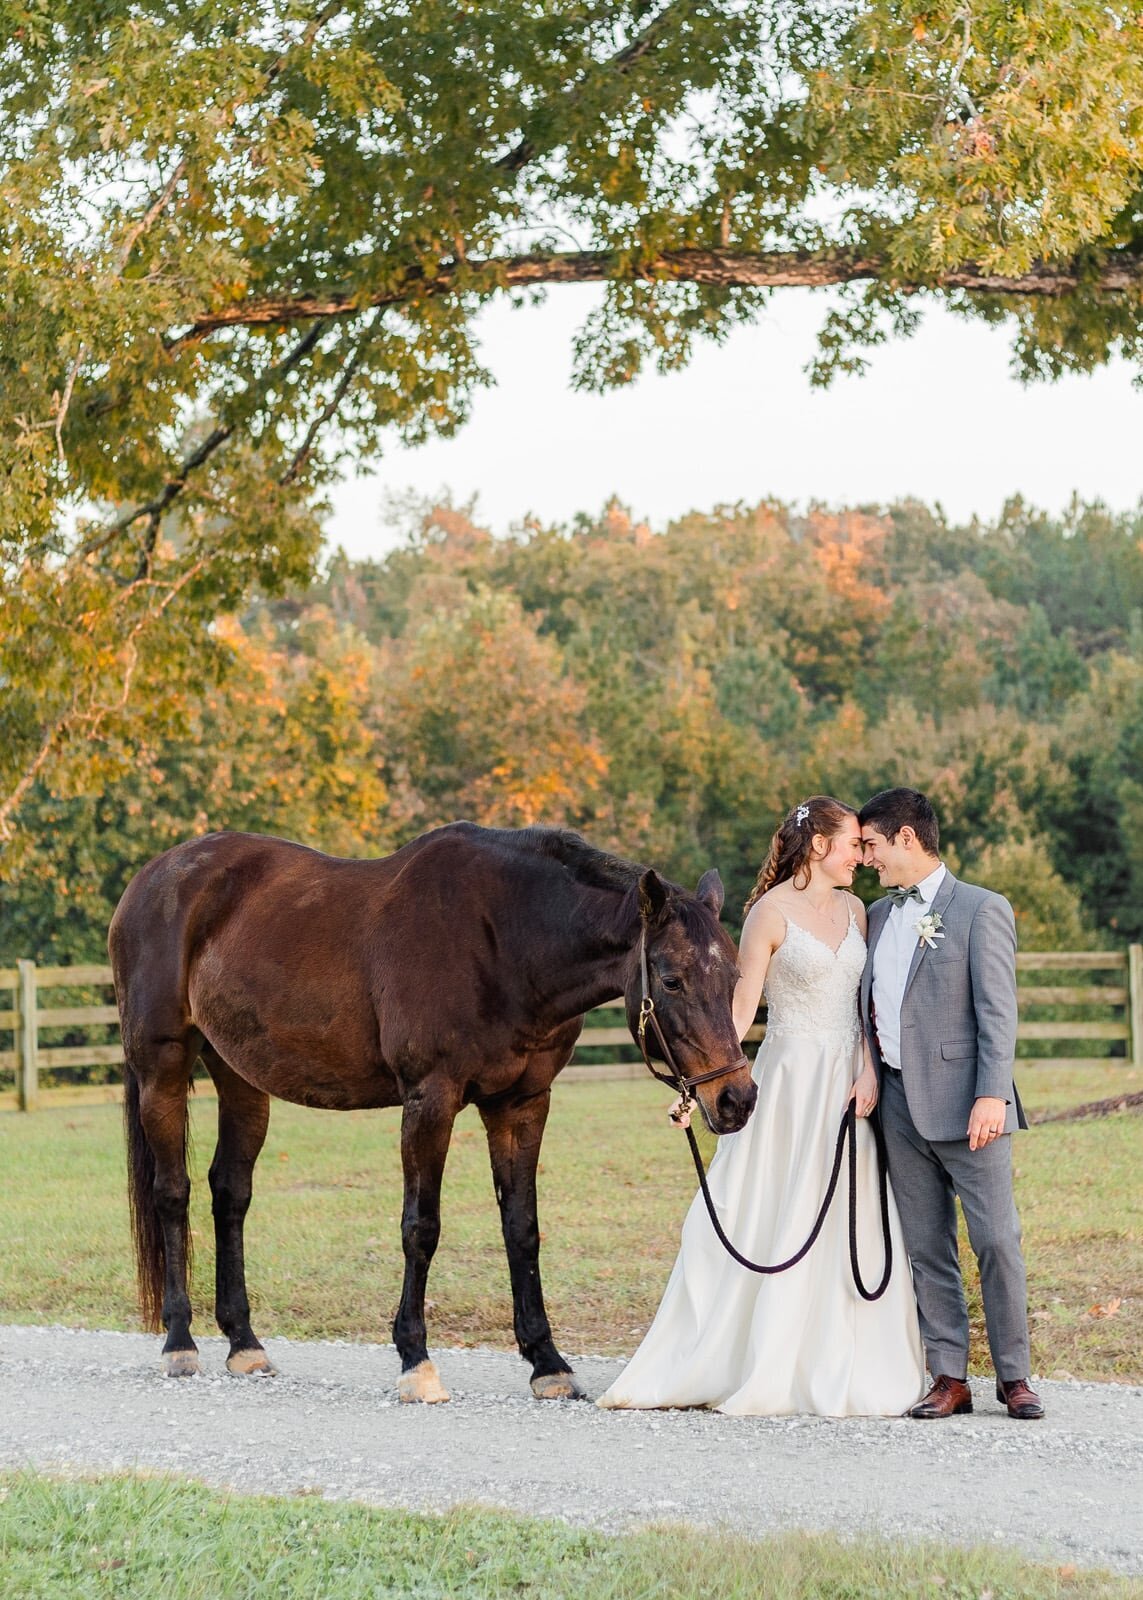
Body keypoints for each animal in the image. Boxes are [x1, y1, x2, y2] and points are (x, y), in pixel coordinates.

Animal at [104, 825, 749, 1401]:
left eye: (736, 977)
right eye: (672, 979)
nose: (736, 1099)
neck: (504, 939)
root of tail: (152, 878)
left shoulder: (520, 1105)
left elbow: (522, 1228)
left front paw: (547, 1362)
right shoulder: (429, 1100)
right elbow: (422, 1228)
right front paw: (415, 1359)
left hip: (241, 1079)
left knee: (230, 1193)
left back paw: (244, 1344)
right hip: (162, 1068)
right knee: (173, 1194)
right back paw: (179, 1342)